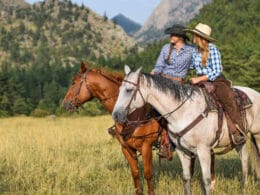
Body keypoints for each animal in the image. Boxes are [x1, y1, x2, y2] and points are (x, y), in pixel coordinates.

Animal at [111, 66, 260, 195]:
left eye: (129, 90)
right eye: (119, 89)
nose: (116, 115)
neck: (184, 111)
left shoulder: (203, 150)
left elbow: (206, 180)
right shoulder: (183, 151)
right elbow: (187, 178)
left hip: (257, 135)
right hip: (238, 141)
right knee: (244, 159)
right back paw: (243, 188)